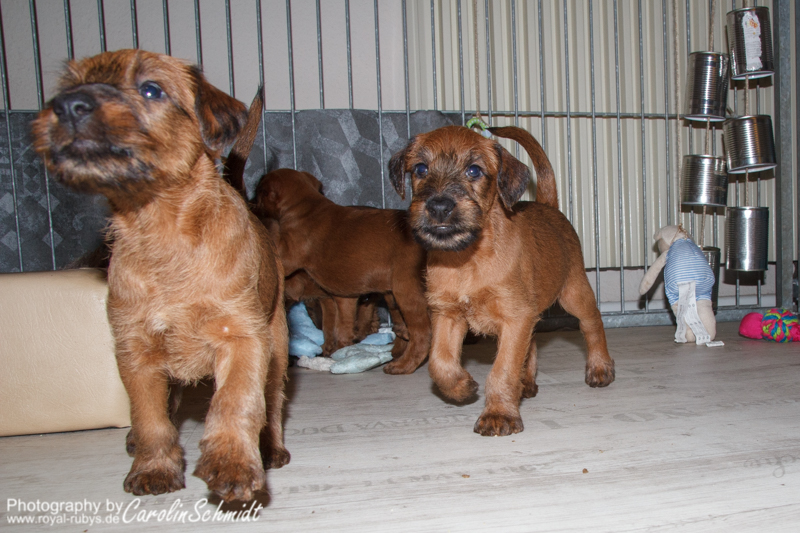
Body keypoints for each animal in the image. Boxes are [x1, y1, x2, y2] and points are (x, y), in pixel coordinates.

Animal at [31, 49, 290, 501]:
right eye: (68, 86)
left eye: (152, 89)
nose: (68, 106)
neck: (162, 230)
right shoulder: (135, 351)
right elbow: (150, 415)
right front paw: (153, 467)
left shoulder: (242, 338)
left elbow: (235, 400)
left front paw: (232, 463)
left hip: (277, 339)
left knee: (272, 398)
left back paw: (270, 448)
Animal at [254, 168, 430, 374]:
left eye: (258, 194)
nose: (250, 203)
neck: (307, 207)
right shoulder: (342, 297)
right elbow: (337, 327)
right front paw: (337, 349)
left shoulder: (289, 255)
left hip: (405, 291)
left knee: (422, 334)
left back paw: (403, 365)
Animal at [388, 125, 615, 436]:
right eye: (420, 168)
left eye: (474, 170)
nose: (439, 207)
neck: (466, 259)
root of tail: (548, 206)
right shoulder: (447, 314)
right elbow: (439, 362)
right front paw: (461, 387)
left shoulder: (514, 317)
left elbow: (502, 370)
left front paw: (499, 414)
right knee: (532, 344)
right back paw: (527, 383)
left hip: (574, 293)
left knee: (592, 325)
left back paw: (600, 367)